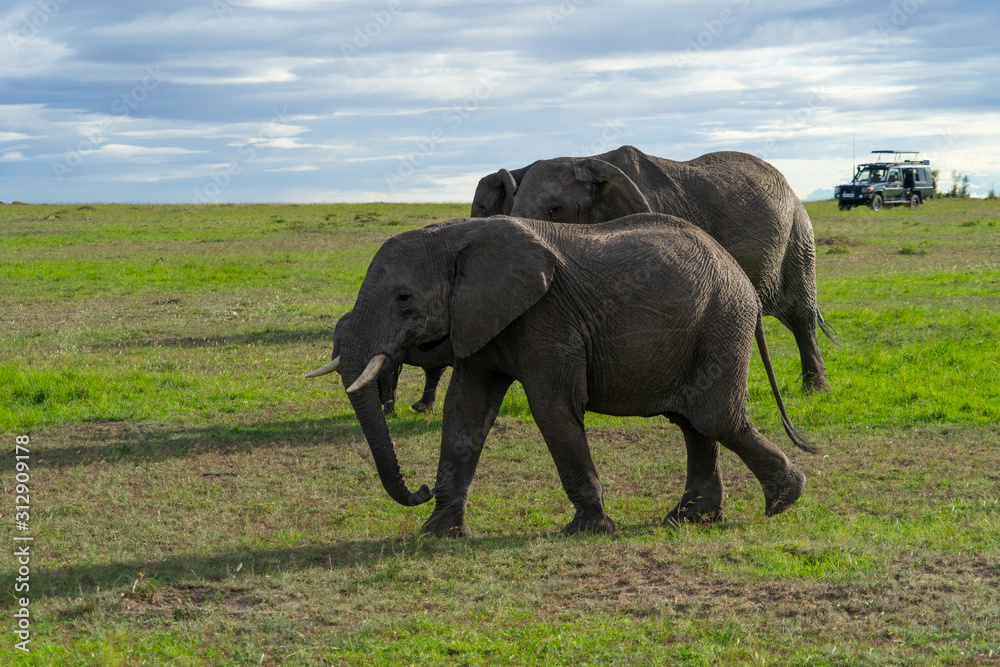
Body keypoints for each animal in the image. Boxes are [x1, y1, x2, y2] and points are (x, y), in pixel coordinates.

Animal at [304, 214, 812, 536]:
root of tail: (742, 279)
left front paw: (588, 531)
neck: (456, 235)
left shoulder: (548, 318)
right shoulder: (479, 317)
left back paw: (784, 500)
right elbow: (465, 410)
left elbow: (552, 408)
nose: (421, 490)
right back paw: (688, 519)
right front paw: (436, 533)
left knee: (713, 418)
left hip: (720, 323)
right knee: (692, 423)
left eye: (403, 297)